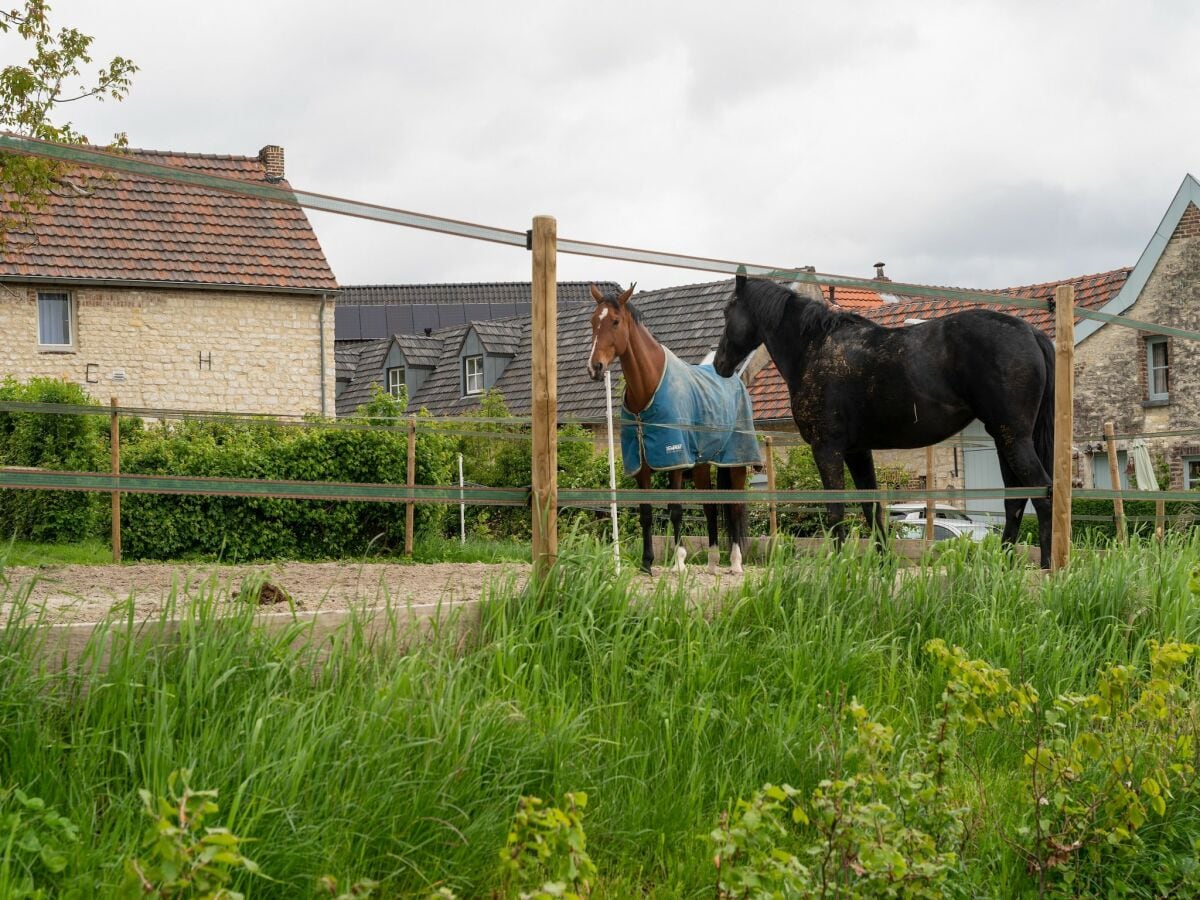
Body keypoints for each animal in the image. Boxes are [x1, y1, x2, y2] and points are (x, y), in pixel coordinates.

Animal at [588, 283, 763, 578]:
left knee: (735, 507)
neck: (647, 388)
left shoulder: (675, 462)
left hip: (737, 462)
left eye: (615, 321)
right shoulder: (642, 465)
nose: (595, 367)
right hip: (703, 465)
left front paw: (679, 561)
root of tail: (734, 379)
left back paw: (736, 563)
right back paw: (713, 562)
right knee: (710, 508)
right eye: (592, 322)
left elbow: (676, 509)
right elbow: (646, 513)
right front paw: (647, 563)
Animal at [710, 278, 1051, 566]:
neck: (813, 348)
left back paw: (1048, 566)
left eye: (727, 311)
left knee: (1043, 493)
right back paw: (1004, 564)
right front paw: (884, 563)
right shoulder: (857, 451)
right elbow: (871, 506)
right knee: (1015, 501)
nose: (720, 364)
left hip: (1012, 438)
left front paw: (837, 564)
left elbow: (836, 509)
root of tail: (1030, 332)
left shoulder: (827, 449)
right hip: (1004, 439)